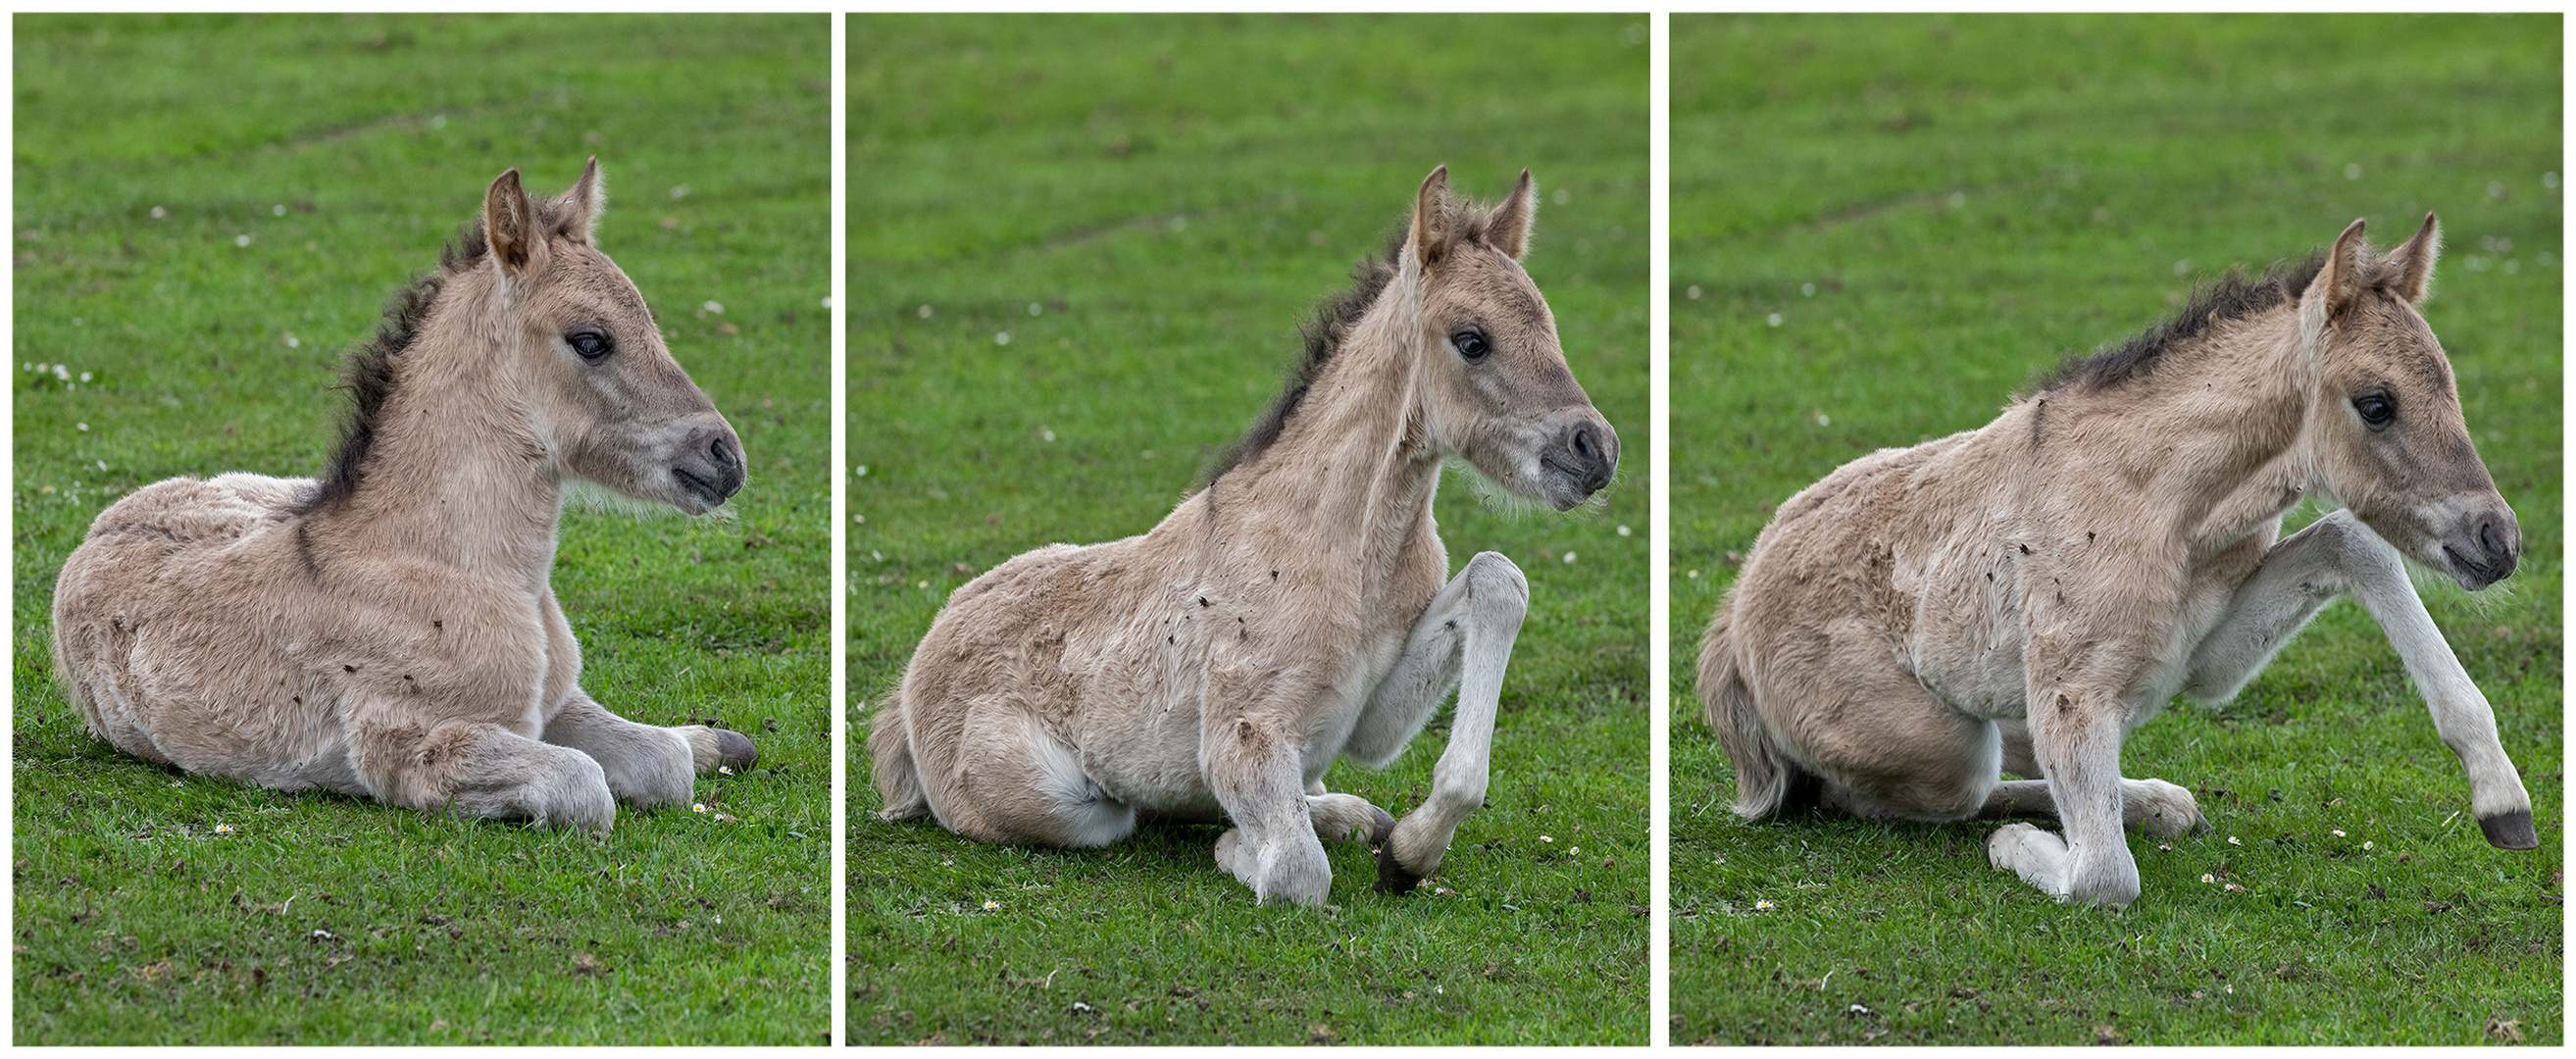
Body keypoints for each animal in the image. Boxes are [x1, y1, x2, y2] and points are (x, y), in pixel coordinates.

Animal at [52, 161, 752, 834]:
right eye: (590, 340)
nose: (726, 457)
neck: (462, 567)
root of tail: (103, 521)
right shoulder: (411, 745)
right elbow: (584, 786)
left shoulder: (555, 703)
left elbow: (664, 762)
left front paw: (701, 745)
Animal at [876, 170, 1617, 906]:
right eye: (1471, 339)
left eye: (1547, 323)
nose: (1595, 451)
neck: (1342, 548)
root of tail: (908, 687)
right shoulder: (1245, 734)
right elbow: (1298, 873)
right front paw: (1240, 846)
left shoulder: (1369, 720)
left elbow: (1499, 577)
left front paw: (1406, 851)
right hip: (1060, 802)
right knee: (1124, 813)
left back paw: (1349, 814)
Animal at [1699, 214, 2524, 901]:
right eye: (2375, 404)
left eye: (2448, 383)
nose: (2498, 541)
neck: (2162, 505)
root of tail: (1728, 627)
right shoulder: (2072, 697)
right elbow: (2101, 876)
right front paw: (2018, 848)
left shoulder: (2198, 666)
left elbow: (2351, 541)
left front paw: (2501, 801)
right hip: (1941, 746)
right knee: (1919, 793)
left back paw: (2158, 800)